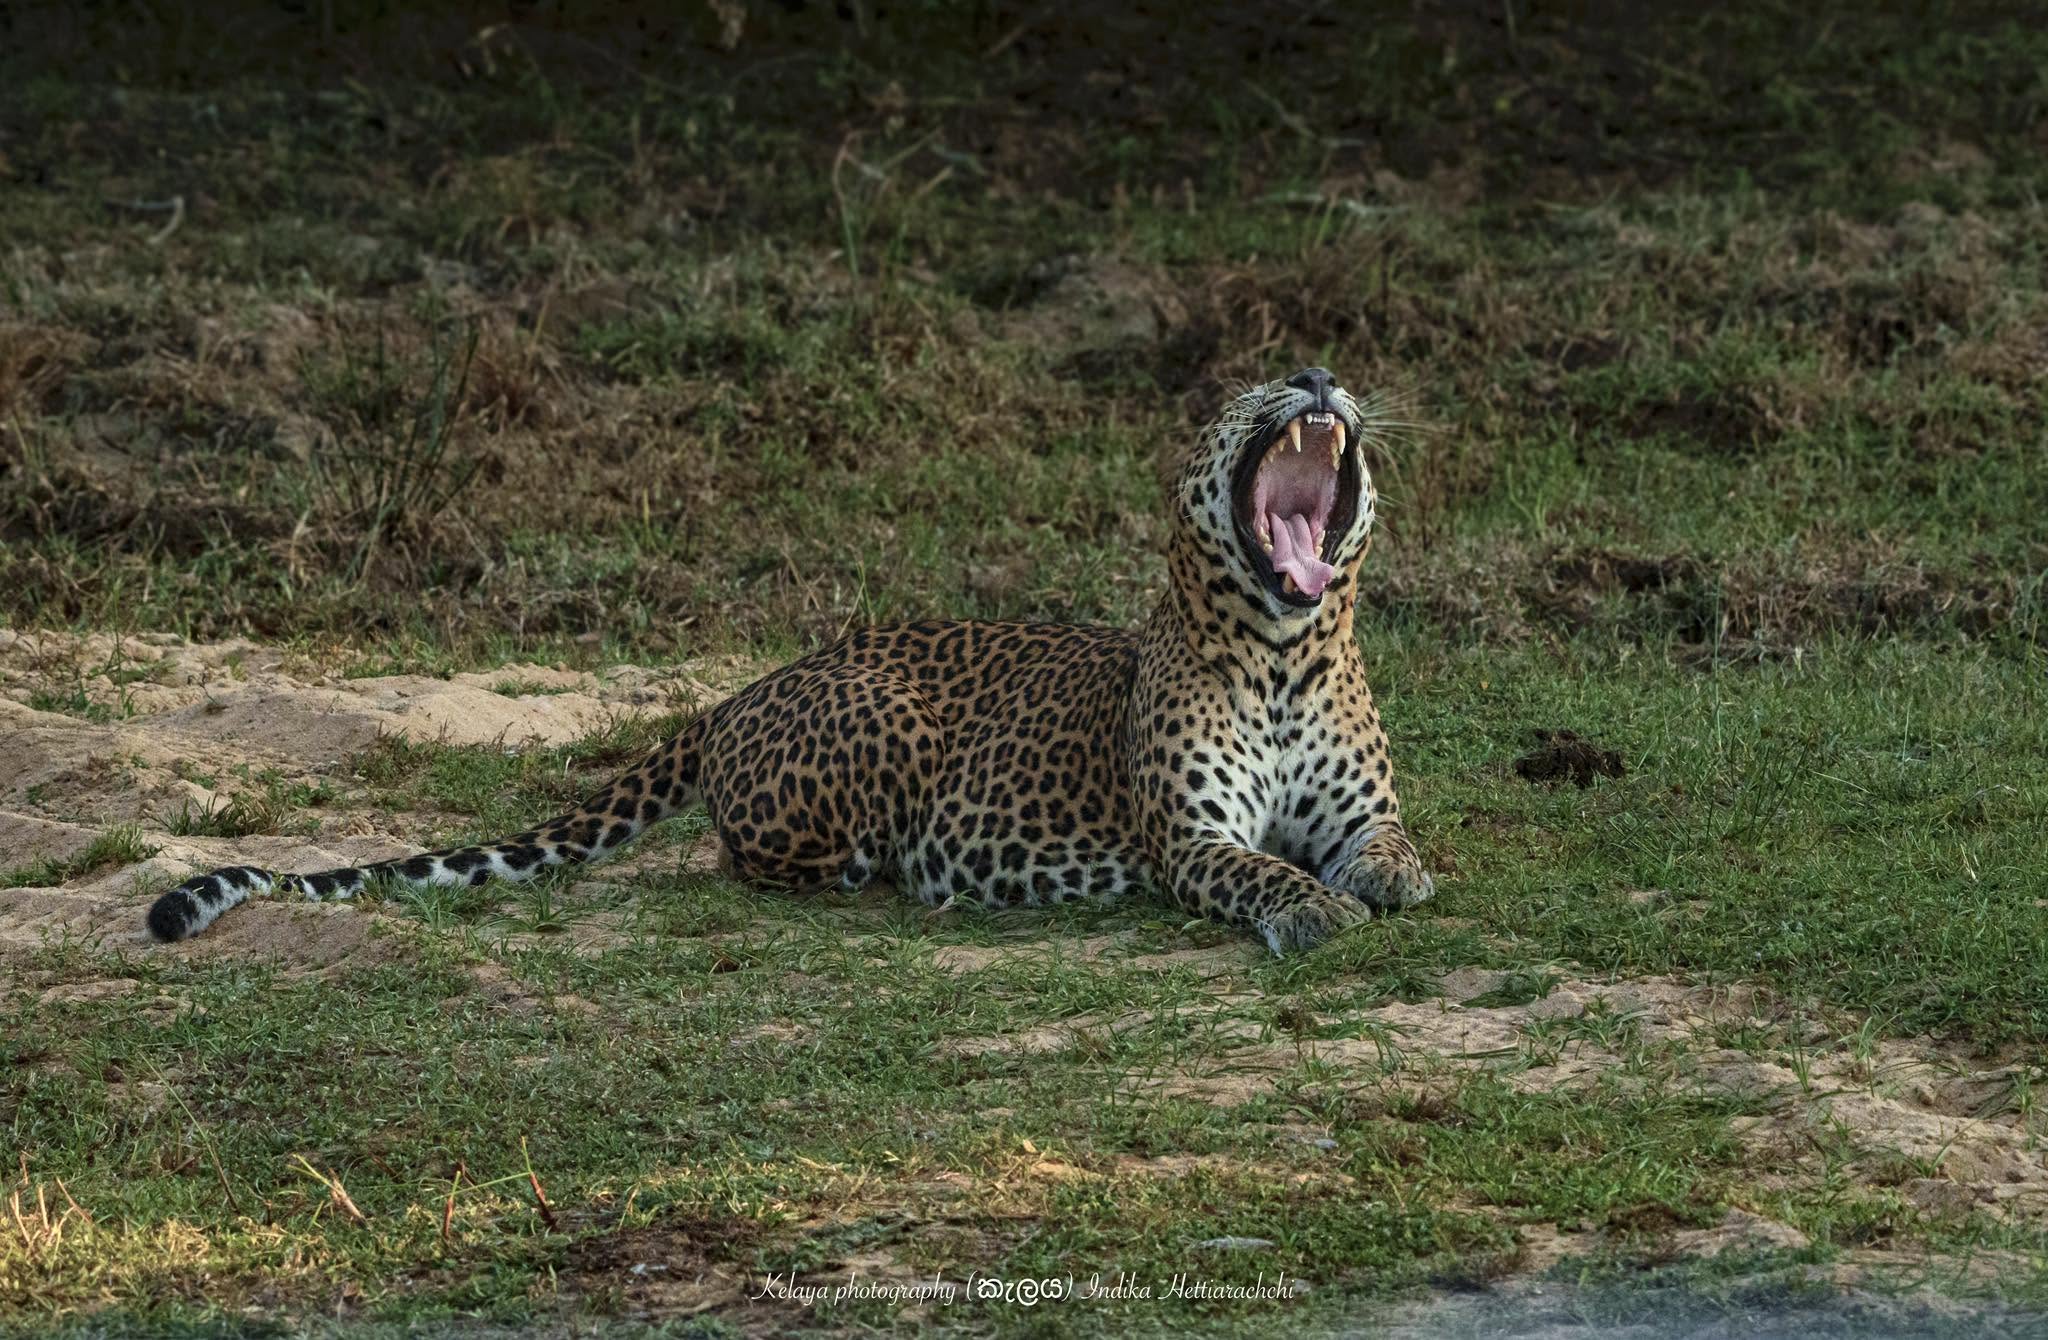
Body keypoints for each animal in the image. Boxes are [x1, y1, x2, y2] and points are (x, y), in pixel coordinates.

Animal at [145, 367, 1434, 953]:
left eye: (1314, 368)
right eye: (1244, 387)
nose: (1315, 375)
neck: (1280, 652)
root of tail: (737, 691)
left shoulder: (1360, 808)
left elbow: (1388, 845)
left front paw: (1392, 880)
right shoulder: (1188, 839)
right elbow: (1258, 871)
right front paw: (1315, 909)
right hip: (882, 731)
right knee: (756, 854)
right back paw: (891, 874)